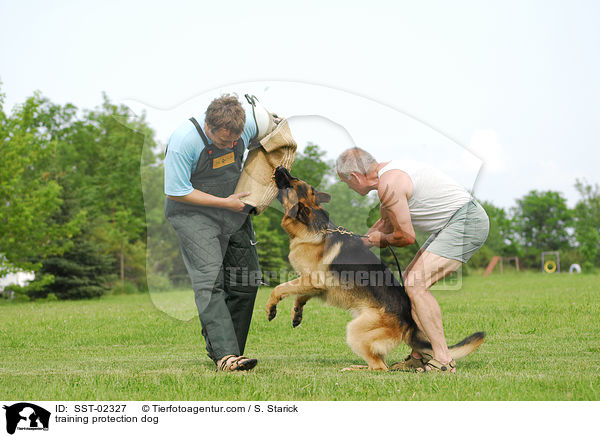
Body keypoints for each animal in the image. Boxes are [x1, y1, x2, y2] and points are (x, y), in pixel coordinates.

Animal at [270, 165, 486, 370]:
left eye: (292, 180)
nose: (280, 167)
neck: (312, 224)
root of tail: (409, 323)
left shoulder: (313, 279)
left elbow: (279, 288)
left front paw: (271, 308)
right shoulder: (313, 284)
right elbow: (299, 295)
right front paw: (297, 313)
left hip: (355, 330)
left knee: (380, 367)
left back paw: (356, 369)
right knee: (380, 362)